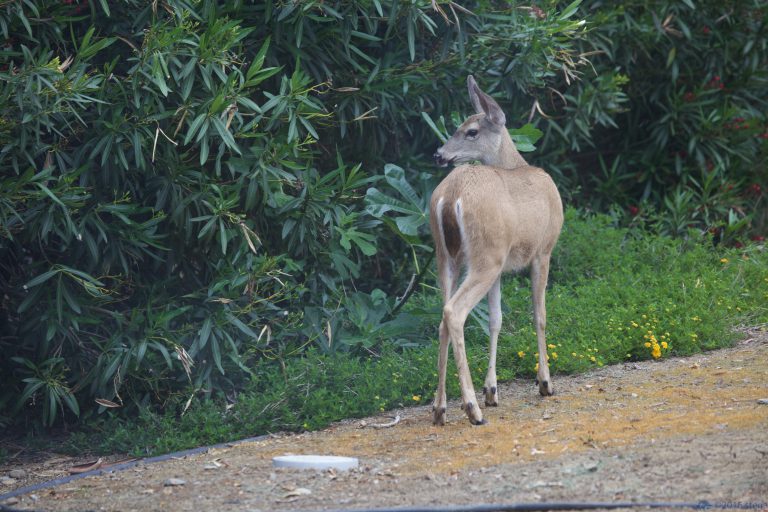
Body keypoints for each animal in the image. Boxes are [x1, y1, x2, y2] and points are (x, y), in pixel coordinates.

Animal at [429, 75, 564, 426]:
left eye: (471, 131)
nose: (439, 154)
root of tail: (450, 196)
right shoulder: (543, 250)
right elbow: (540, 315)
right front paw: (545, 382)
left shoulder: (503, 267)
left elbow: (496, 320)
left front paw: (492, 391)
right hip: (485, 256)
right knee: (454, 312)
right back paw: (471, 409)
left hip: (447, 256)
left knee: (442, 316)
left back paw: (440, 408)